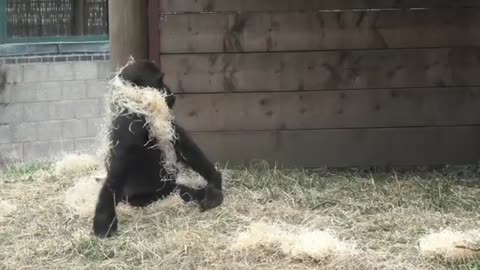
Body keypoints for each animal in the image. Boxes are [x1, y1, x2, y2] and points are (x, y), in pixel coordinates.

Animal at [93, 60, 224, 237]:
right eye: (160, 81)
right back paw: (210, 196)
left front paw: (215, 177)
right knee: (181, 192)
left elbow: (183, 144)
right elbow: (116, 173)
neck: (136, 102)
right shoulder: (129, 124)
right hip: (141, 199)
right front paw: (104, 221)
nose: (169, 91)